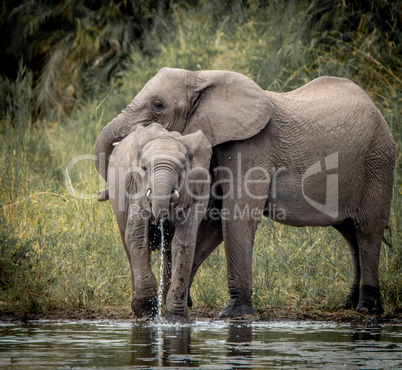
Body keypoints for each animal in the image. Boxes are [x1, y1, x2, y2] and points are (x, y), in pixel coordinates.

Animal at [105, 122, 212, 320]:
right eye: (144, 168)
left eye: (183, 167)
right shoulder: (135, 188)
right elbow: (137, 237)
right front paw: (146, 311)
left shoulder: (196, 192)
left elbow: (184, 243)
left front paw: (175, 317)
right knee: (128, 245)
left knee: (169, 251)